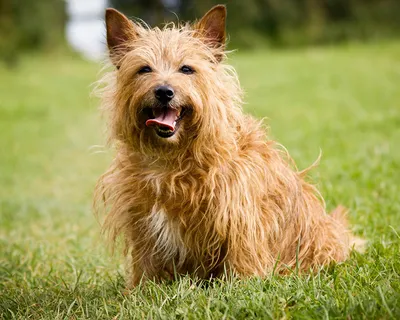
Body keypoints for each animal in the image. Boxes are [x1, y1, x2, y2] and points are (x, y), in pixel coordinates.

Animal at [94, 5, 360, 286]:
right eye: (144, 69)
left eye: (186, 69)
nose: (164, 91)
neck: (171, 157)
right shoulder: (142, 220)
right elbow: (146, 262)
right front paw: (141, 289)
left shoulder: (240, 213)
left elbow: (242, 255)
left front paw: (243, 285)